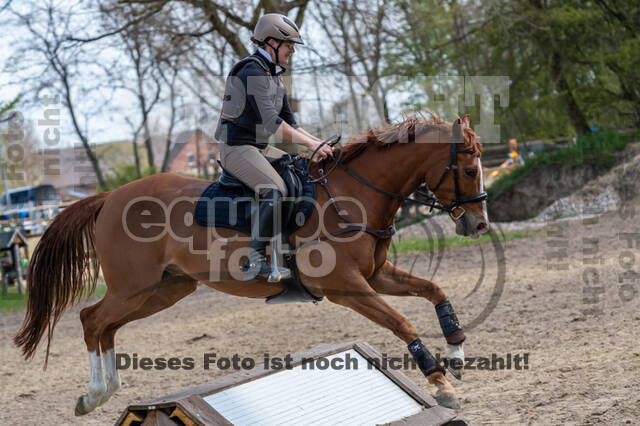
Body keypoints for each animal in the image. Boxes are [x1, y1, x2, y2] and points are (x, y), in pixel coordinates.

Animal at [16, 112, 490, 416]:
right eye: (469, 169)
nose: (480, 223)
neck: (351, 196)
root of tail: (108, 198)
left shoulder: (375, 276)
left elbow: (435, 292)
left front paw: (456, 350)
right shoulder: (348, 286)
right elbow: (402, 323)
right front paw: (441, 384)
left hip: (164, 290)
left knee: (107, 325)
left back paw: (104, 391)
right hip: (134, 287)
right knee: (92, 319)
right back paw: (95, 394)